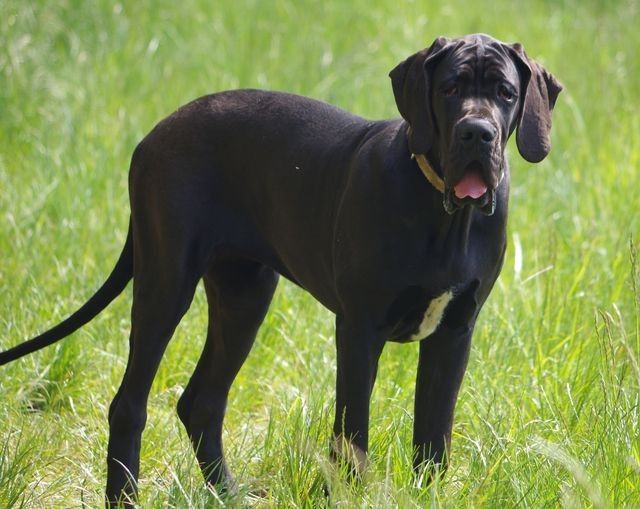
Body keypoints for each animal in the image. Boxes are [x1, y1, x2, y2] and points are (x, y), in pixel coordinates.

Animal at [0, 34, 561, 505]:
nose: (476, 133)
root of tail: (155, 132)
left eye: (506, 93)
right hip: (165, 283)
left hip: (245, 295)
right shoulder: (359, 329)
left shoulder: (454, 333)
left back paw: (228, 494)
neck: (446, 215)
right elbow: (352, 430)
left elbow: (433, 434)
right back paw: (125, 497)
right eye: (449, 88)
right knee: (129, 404)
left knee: (202, 401)